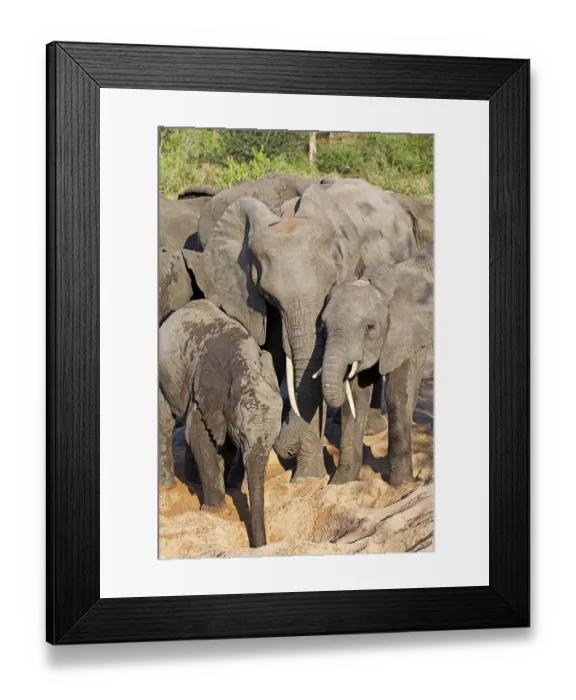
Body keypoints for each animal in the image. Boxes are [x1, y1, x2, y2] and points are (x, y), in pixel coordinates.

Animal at [159, 300, 283, 547]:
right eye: (242, 436)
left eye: (275, 441)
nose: (259, 546)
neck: (246, 366)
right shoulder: (208, 389)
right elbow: (198, 434)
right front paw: (214, 511)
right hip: (164, 375)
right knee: (165, 421)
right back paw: (166, 486)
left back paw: (193, 481)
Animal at [200, 178, 424, 482]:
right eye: (268, 295)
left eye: (331, 285)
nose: (286, 449)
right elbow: (276, 355)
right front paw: (307, 479)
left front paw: (309, 477)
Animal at [320, 243, 434, 487]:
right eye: (323, 327)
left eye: (370, 328)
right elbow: (357, 395)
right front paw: (341, 484)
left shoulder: (409, 334)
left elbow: (397, 395)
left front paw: (402, 485)